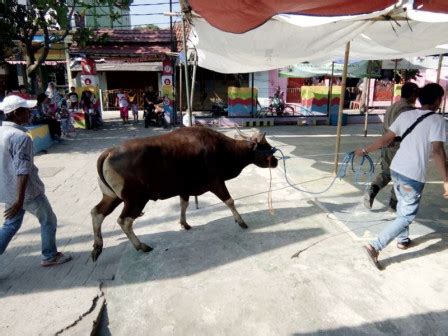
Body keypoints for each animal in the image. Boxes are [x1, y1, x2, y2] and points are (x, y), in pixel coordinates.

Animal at [90, 126, 276, 260]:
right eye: (266, 146)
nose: (275, 161)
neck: (223, 149)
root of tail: (109, 152)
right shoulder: (216, 183)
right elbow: (230, 201)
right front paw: (241, 221)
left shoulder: (185, 189)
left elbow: (184, 205)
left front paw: (184, 223)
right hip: (136, 199)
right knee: (124, 221)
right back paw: (141, 246)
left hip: (112, 196)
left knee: (97, 212)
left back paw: (97, 247)